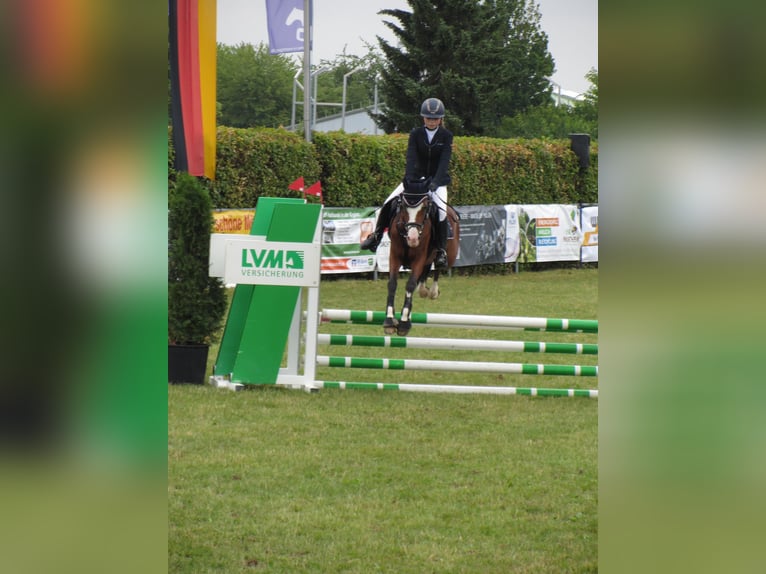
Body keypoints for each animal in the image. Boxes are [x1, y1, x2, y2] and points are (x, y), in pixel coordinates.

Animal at [388, 191, 460, 336]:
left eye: (425, 208)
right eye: (403, 207)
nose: (413, 238)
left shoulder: (418, 259)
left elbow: (410, 285)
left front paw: (404, 322)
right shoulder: (394, 257)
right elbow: (392, 284)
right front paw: (390, 320)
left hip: (448, 255)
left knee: (437, 268)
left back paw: (432, 291)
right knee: (425, 271)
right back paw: (422, 290)